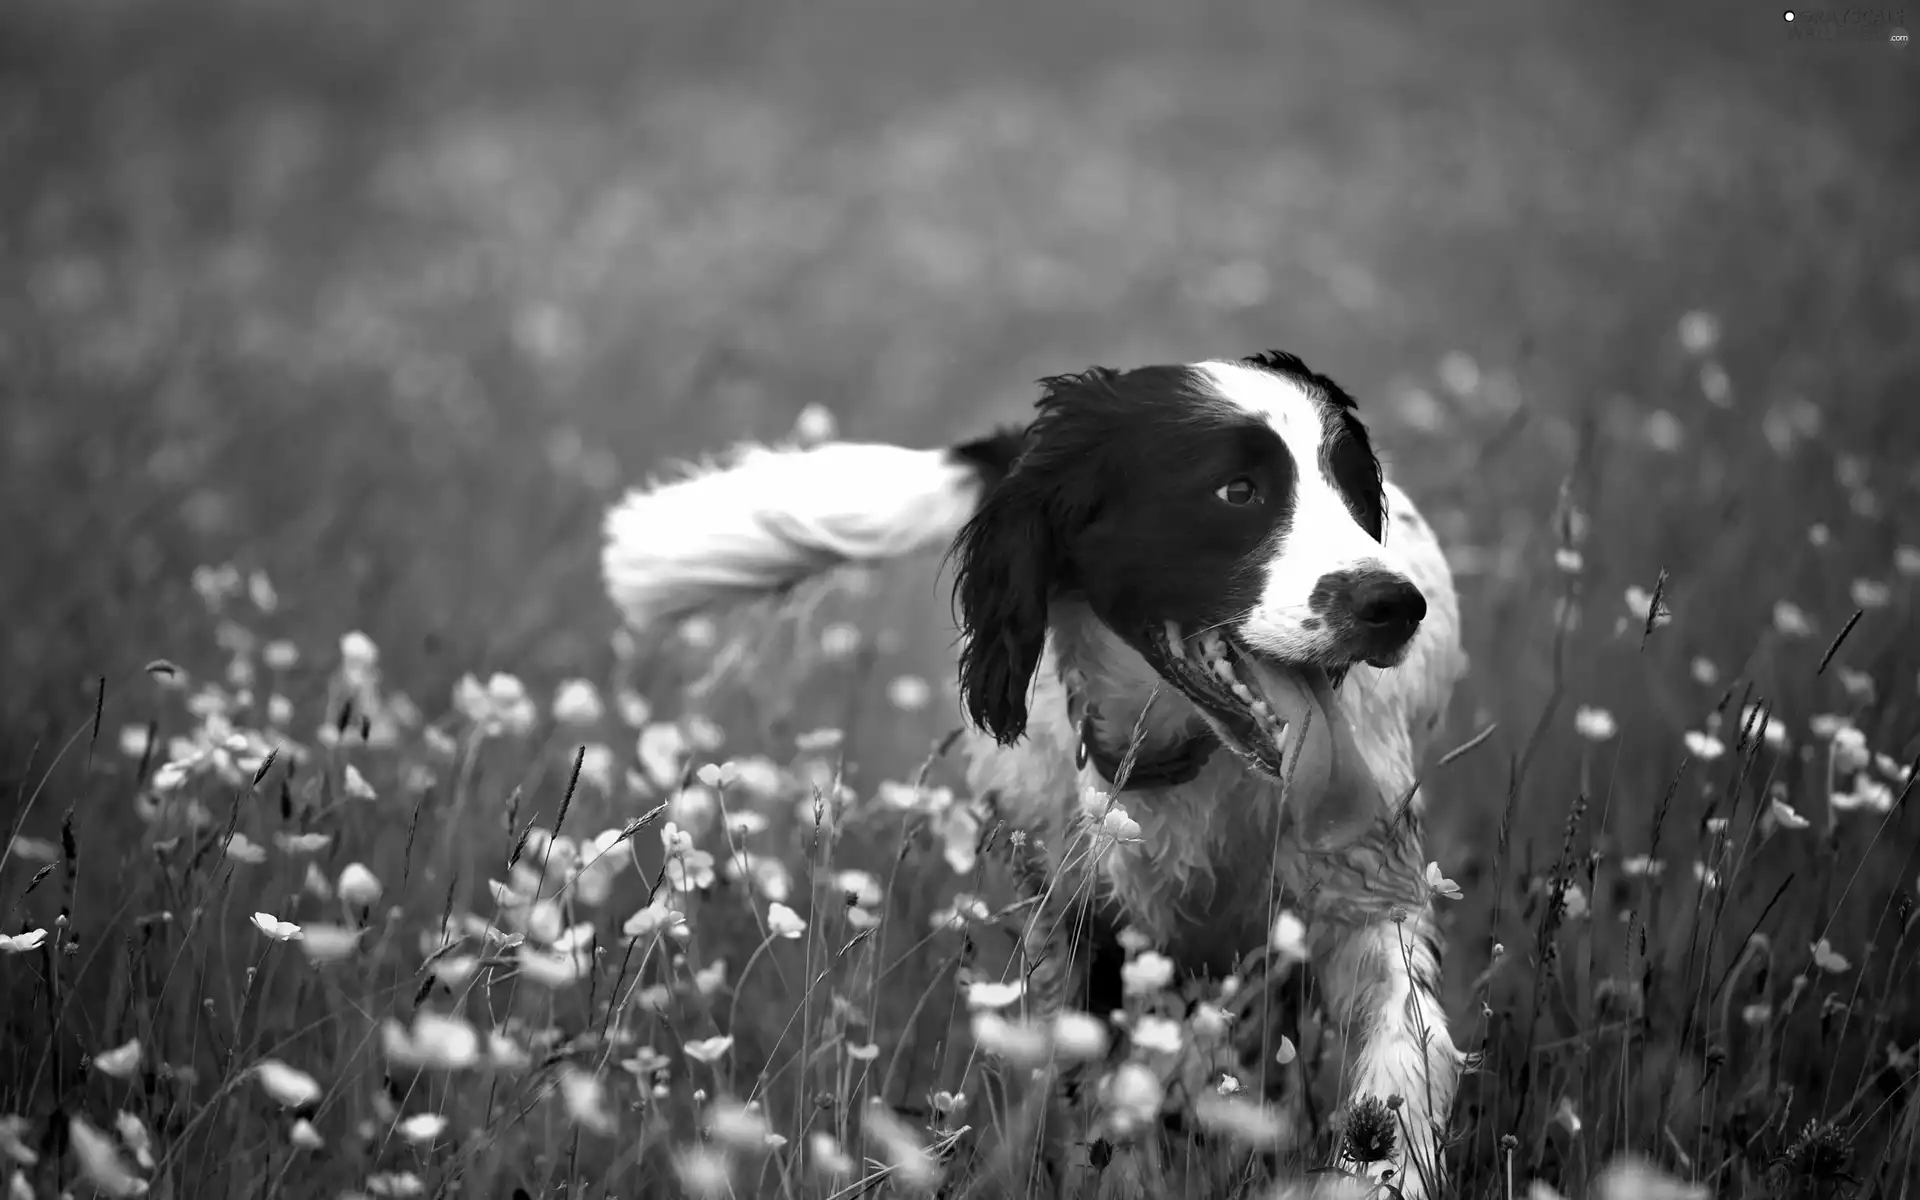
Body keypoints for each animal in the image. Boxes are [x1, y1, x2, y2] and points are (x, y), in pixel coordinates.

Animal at [602, 351, 1466, 1190]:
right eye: (1237, 490)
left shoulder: (1366, 900)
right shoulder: (1080, 937)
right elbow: (1108, 1120)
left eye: (1355, 495)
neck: (1176, 766)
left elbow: (1398, 1070)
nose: (1393, 605)